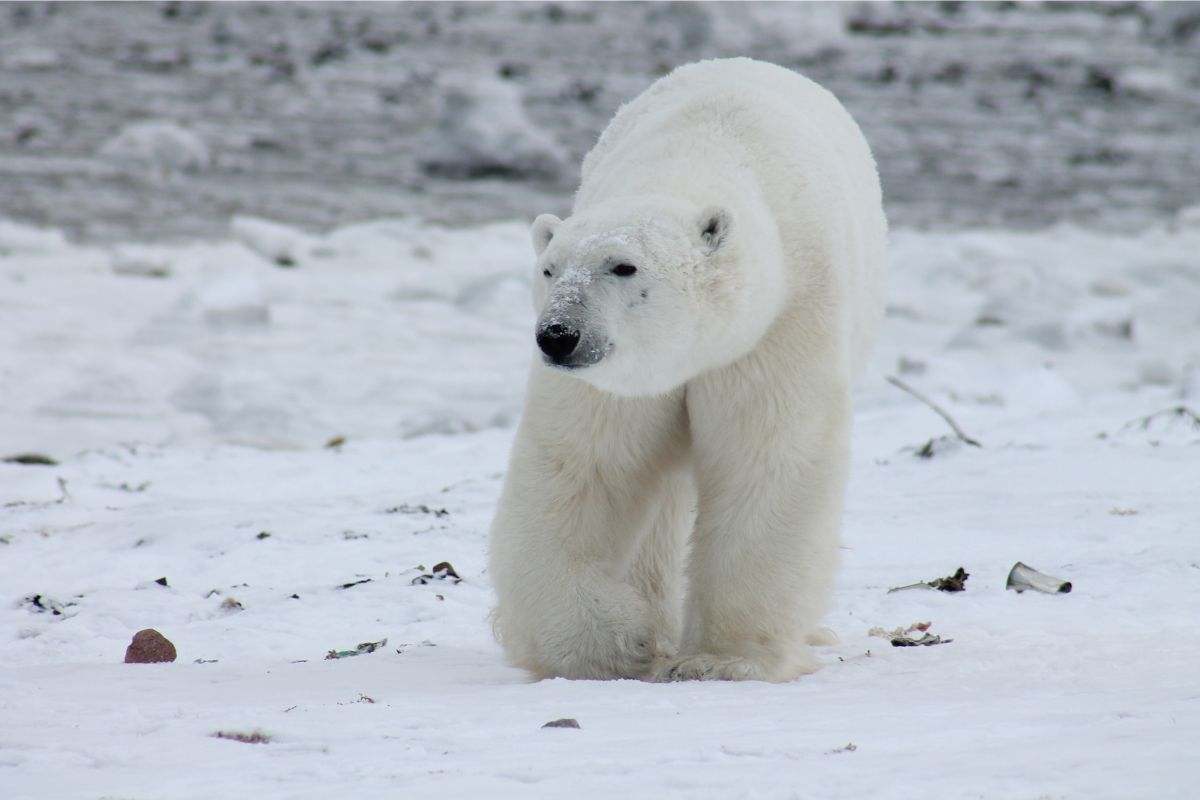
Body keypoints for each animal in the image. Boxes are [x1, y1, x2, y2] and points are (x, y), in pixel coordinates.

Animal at [488, 58, 887, 682]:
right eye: (550, 269)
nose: (558, 335)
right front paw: (610, 643)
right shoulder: (619, 381)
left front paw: (722, 660)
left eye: (623, 266)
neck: (696, 156)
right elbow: (584, 466)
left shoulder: (779, 324)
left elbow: (766, 458)